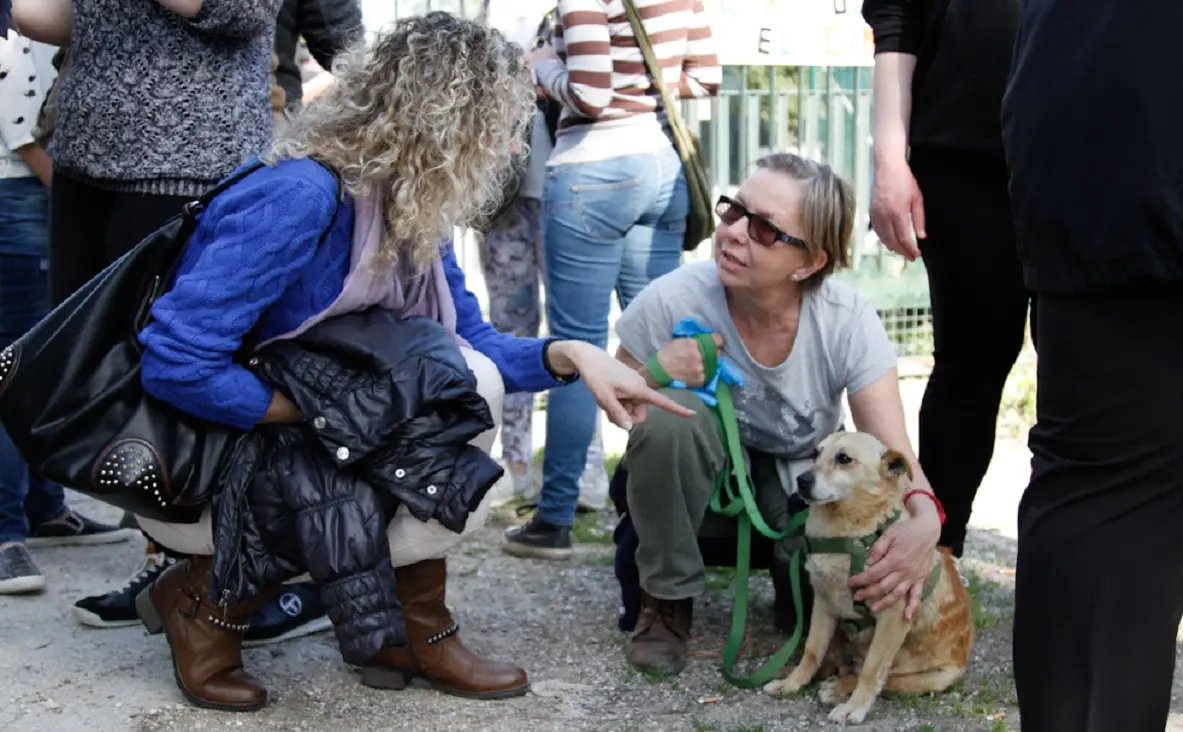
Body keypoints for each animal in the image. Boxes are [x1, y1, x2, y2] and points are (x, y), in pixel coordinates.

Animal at [761, 432, 974, 723]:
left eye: (844, 458)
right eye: (815, 454)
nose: (801, 480)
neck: (850, 533)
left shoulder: (892, 617)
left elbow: (872, 671)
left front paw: (854, 707)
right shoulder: (824, 603)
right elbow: (812, 651)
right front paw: (793, 682)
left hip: (933, 677)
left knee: (879, 677)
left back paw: (839, 688)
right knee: (835, 661)